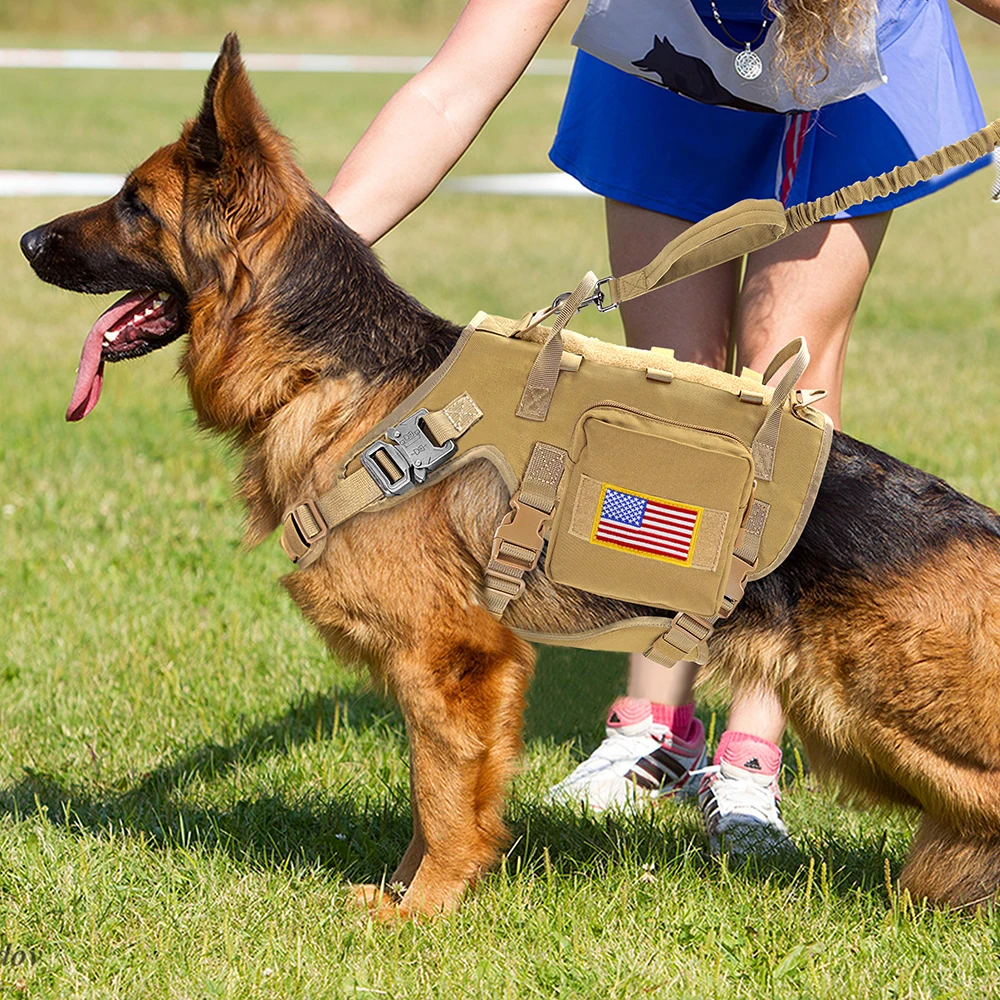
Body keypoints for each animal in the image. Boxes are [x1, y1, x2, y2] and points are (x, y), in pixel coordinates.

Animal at [21, 37, 1000, 916]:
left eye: (134, 204)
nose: (26, 237)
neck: (330, 374)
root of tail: (979, 524)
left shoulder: (455, 658)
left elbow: (443, 800)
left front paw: (421, 913)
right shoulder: (444, 673)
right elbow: (439, 793)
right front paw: (404, 893)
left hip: (885, 717)